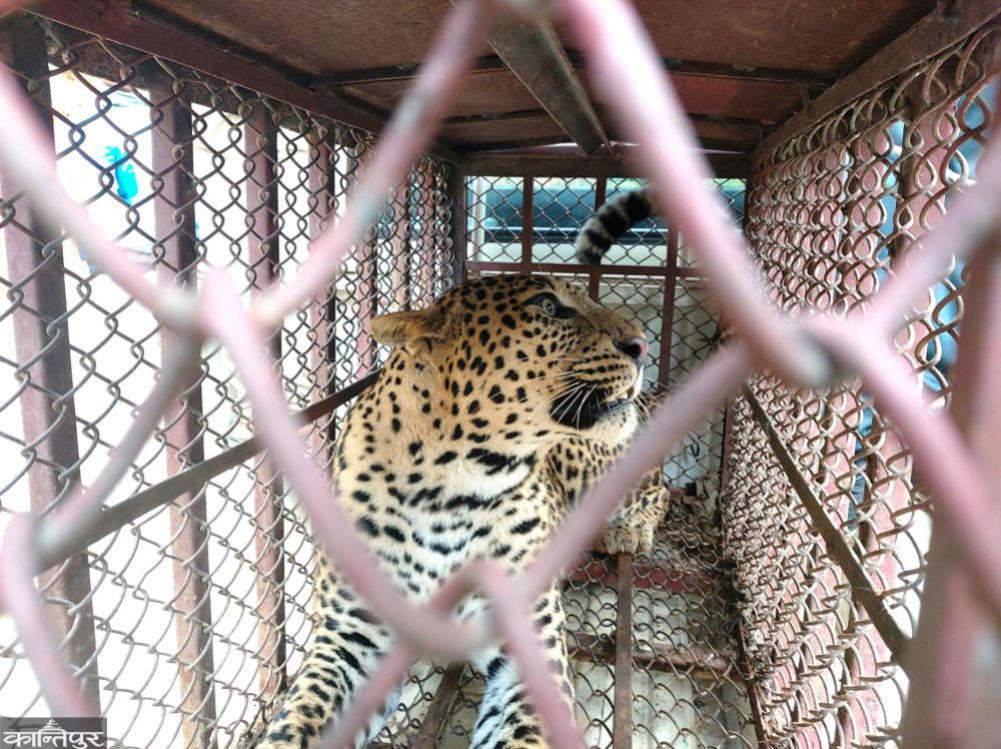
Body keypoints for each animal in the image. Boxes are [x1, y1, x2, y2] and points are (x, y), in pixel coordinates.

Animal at [251, 273, 658, 749]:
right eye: (547, 305)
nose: (642, 344)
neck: (450, 491)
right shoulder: (353, 640)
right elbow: (299, 717)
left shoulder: (528, 645)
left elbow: (522, 736)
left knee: (656, 488)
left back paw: (626, 531)